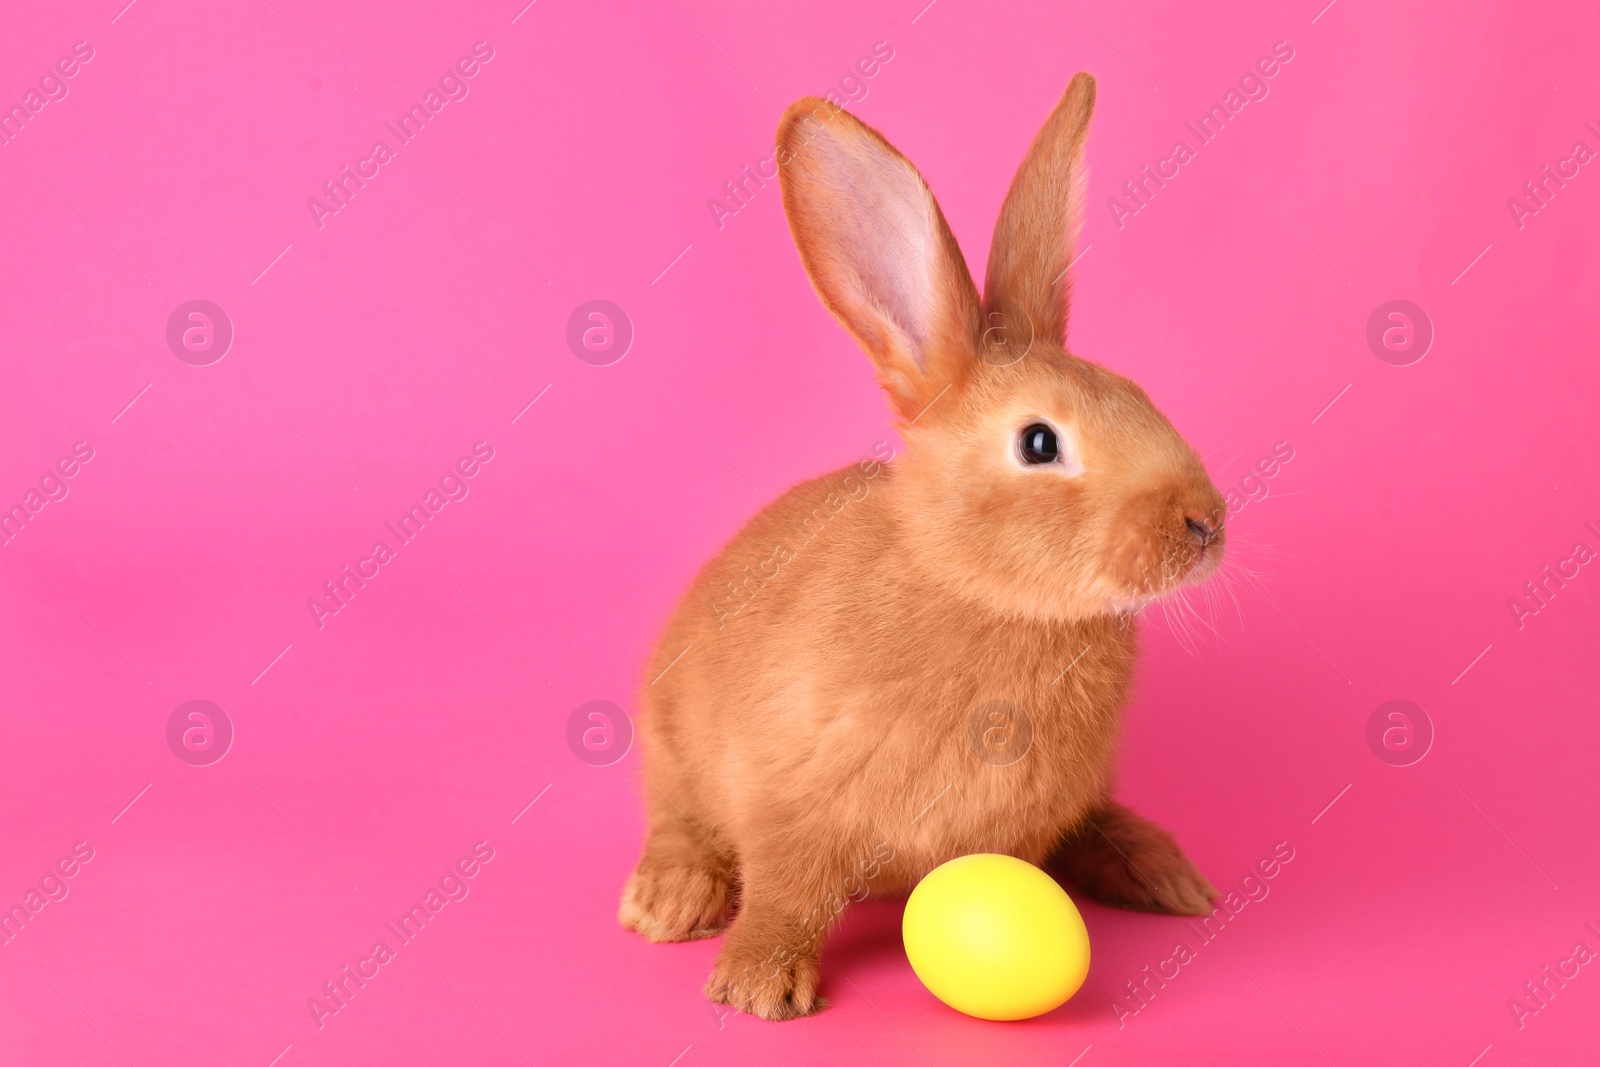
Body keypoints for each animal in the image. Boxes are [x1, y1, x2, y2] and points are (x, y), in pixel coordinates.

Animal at [617, 70, 1216, 1023]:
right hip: (674, 742)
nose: (1205, 524)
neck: (974, 586)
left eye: (1138, 393)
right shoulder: (789, 804)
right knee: (678, 817)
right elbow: (786, 890)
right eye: (1039, 443)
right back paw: (668, 900)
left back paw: (1165, 872)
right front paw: (755, 987)